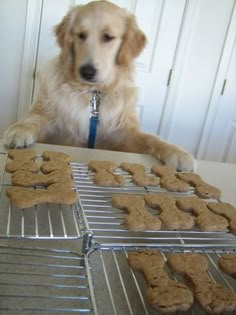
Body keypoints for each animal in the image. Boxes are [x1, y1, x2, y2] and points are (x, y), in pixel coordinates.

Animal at [4, 0, 195, 170]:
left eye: (108, 37)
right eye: (80, 35)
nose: (87, 71)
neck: (93, 93)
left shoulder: (122, 134)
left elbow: (151, 138)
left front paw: (178, 152)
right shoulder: (52, 123)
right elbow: (33, 119)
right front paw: (19, 129)